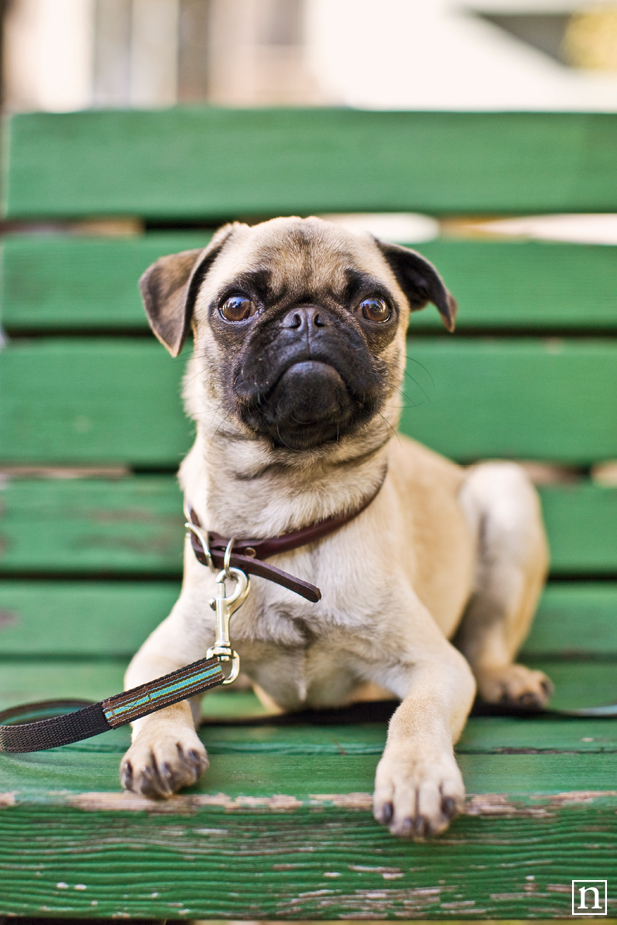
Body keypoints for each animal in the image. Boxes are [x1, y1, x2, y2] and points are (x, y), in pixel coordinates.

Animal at [120, 218, 548, 836]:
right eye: (236, 305)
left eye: (375, 307)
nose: (307, 318)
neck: (290, 506)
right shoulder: (167, 656)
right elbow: (158, 700)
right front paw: (158, 744)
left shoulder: (435, 665)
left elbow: (414, 715)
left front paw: (416, 776)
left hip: (507, 495)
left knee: (486, 640)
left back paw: (506, 680)